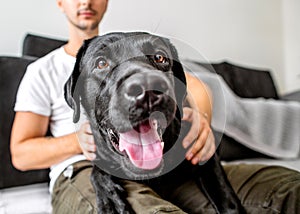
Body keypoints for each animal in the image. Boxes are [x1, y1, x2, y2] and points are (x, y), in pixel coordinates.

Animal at [64, 31, 245, 214]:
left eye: (160, 57)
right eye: (101, 63)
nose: (147, 88)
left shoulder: (204, 151)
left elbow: (224, 194)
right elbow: (97, 171)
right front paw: (110, 199)